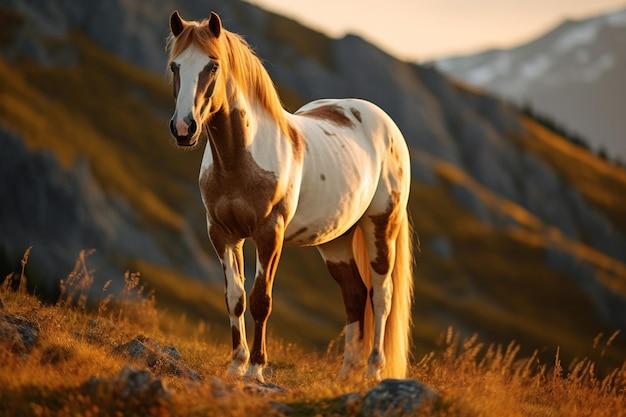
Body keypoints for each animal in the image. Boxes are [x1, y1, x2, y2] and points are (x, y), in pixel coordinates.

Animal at [165, 10, 414, 380]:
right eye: (175, 66)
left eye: (212, 66)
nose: (184, 129)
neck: (239, 159)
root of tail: (383, 122)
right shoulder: (222, 233)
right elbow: (235, 297)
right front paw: (236, 365)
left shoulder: (270, 233)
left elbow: (261, 300)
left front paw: (256, 369)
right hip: (336, 240)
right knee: (355, 295)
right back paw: (345, 374)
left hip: (381, 228)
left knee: (381, 296)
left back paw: (373, 372)